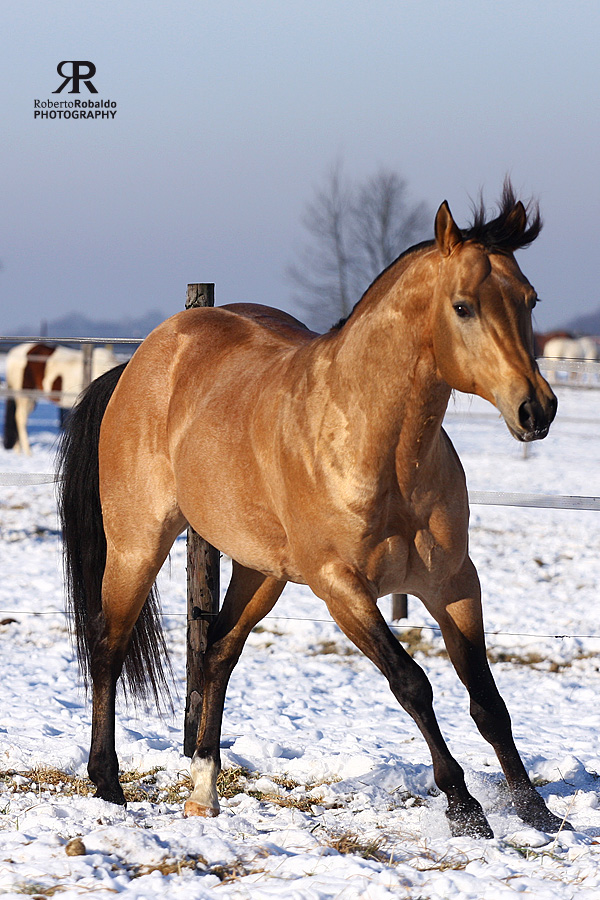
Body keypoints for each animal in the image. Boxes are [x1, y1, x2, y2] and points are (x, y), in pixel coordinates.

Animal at [58, 186, 564, 840]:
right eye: (463, 306)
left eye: (529, 299)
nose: (537, 409)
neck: (382, 449)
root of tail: (143, 359)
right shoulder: (340, 588)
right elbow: (412, 683)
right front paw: (464, 806)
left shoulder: (453, 583)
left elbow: (488, 699)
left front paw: (536, 810)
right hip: (136, 545)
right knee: (109, 649)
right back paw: (108, 785)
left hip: (260, 571)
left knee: (216, 652)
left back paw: (203, 791)